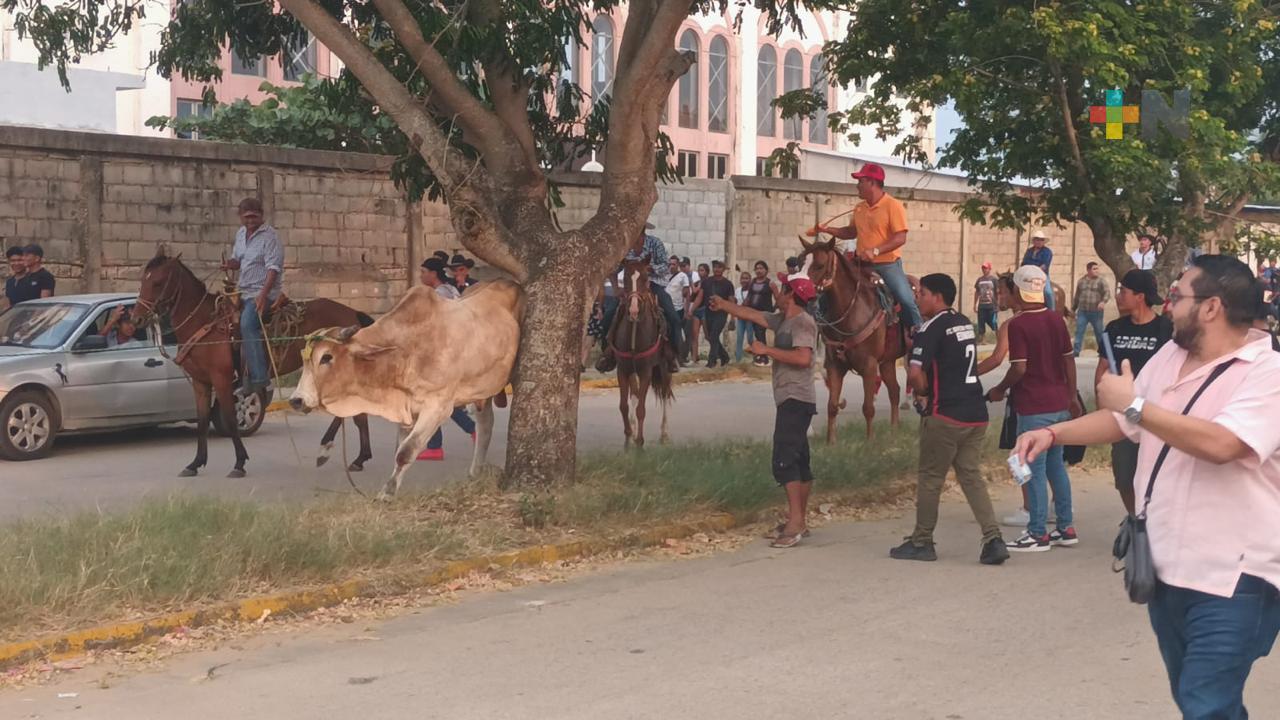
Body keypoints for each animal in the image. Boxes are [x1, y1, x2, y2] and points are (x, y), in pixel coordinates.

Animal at [132, 249, 375, 478]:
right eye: (143, 279)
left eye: (158, 282)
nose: (136, 319)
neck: (203, 323)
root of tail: (352, 313)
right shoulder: (200, 383)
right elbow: (201, 421)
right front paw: (195, 463)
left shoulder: (221, 379)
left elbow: (231, 419)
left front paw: (239, 462)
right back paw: (357, 457)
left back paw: (339, 450)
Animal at [290, 279, 524, 500]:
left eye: (326, 357)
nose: (296, 400)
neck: (405, 352)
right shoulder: (406, 408)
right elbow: (399, 449)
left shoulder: (438, 407)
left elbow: (406, 451)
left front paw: (387, 493)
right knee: (486, 424)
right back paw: (475, 472)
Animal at [605, 256, 674, 448]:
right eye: (625, 279)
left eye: (645, 278)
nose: (634, 310)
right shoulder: (623, 369)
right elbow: (624, 405)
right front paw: (629, 437)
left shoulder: (646, 371)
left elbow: (641, 408)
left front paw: (640, 443)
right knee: (634, 395)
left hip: (664, 367)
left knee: (665, 392)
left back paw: (664, 434)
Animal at [798, 236, 912, 442]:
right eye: (801, 262)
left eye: (819, 265)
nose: (800, 291)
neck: (852, 309)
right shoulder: (834, 365)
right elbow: (832, 405)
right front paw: (831, 442)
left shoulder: (869, 365)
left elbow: (868, 407)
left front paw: (870, 441)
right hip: (888, 361)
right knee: (894, 391)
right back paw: (893, 429)